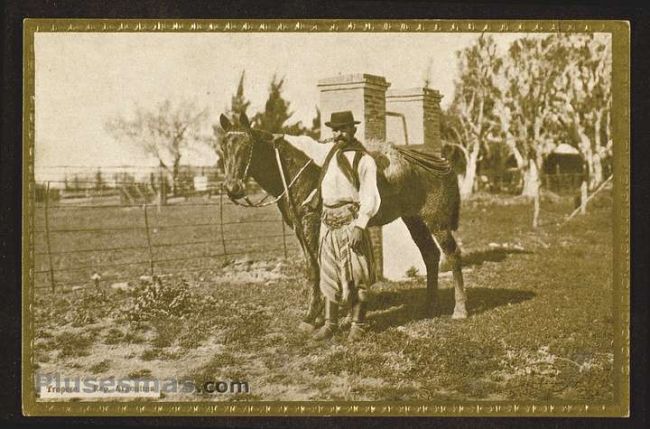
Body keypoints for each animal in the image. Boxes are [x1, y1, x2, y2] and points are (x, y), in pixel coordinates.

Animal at [219, 111, 466, 328]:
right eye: (223, 147)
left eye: (248, 146)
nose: (233, 188)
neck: (295, 170)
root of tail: (442, 164)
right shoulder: (300, 228)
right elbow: (315, 267)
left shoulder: (311, 223)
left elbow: (315, 268)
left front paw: (312, 315)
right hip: (414, 219)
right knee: (430, 255)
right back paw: (429, 306)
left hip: (437, 222)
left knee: (452, 254)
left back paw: (460, 310)